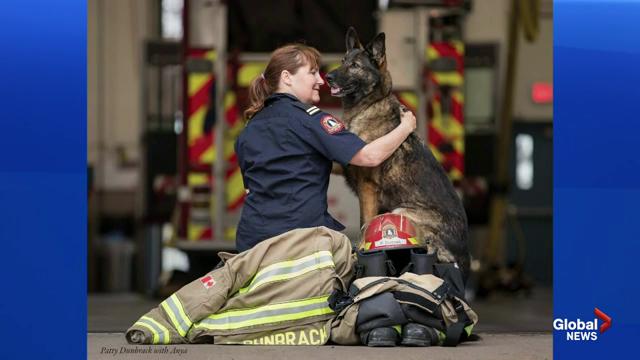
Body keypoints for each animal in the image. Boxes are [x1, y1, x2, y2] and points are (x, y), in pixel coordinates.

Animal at [324, 27, 470, 276]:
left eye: (355, 65)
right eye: (342, 61)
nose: (328, 77)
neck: (370, 105)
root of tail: (465, 261)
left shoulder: (368, 187)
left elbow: (365, 223)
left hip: (401, 210)